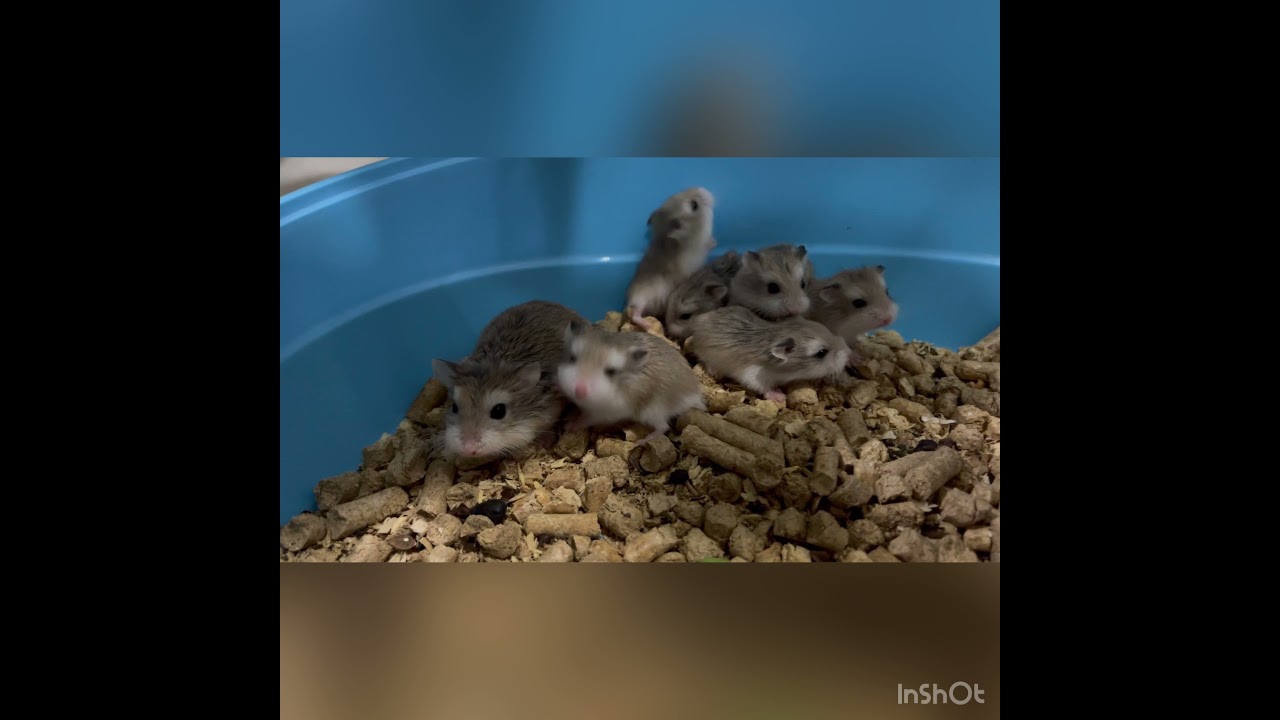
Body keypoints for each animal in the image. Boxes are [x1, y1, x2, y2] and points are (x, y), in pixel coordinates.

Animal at [557, 321, 705, 448]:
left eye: (611, 371)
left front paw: (569, 426)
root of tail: (694, 395)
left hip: (652, 411)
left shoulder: (605, 413)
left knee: (663, 427)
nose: (579, 391)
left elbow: (586, 419)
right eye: (572, 358)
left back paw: (640, 442)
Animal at [624, 187, 717, 331]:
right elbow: (706, 246)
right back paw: (648, 325)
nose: (704, 189)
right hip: (642, 297)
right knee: (635, 314)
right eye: (694, 205)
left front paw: (714, 241)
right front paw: (714, 242)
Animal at [685, 305, 851, 403]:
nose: (848, 353)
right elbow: (763, 387)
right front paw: (780, 397)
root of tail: (698, 321)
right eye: (821, 353)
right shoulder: (752, 375)